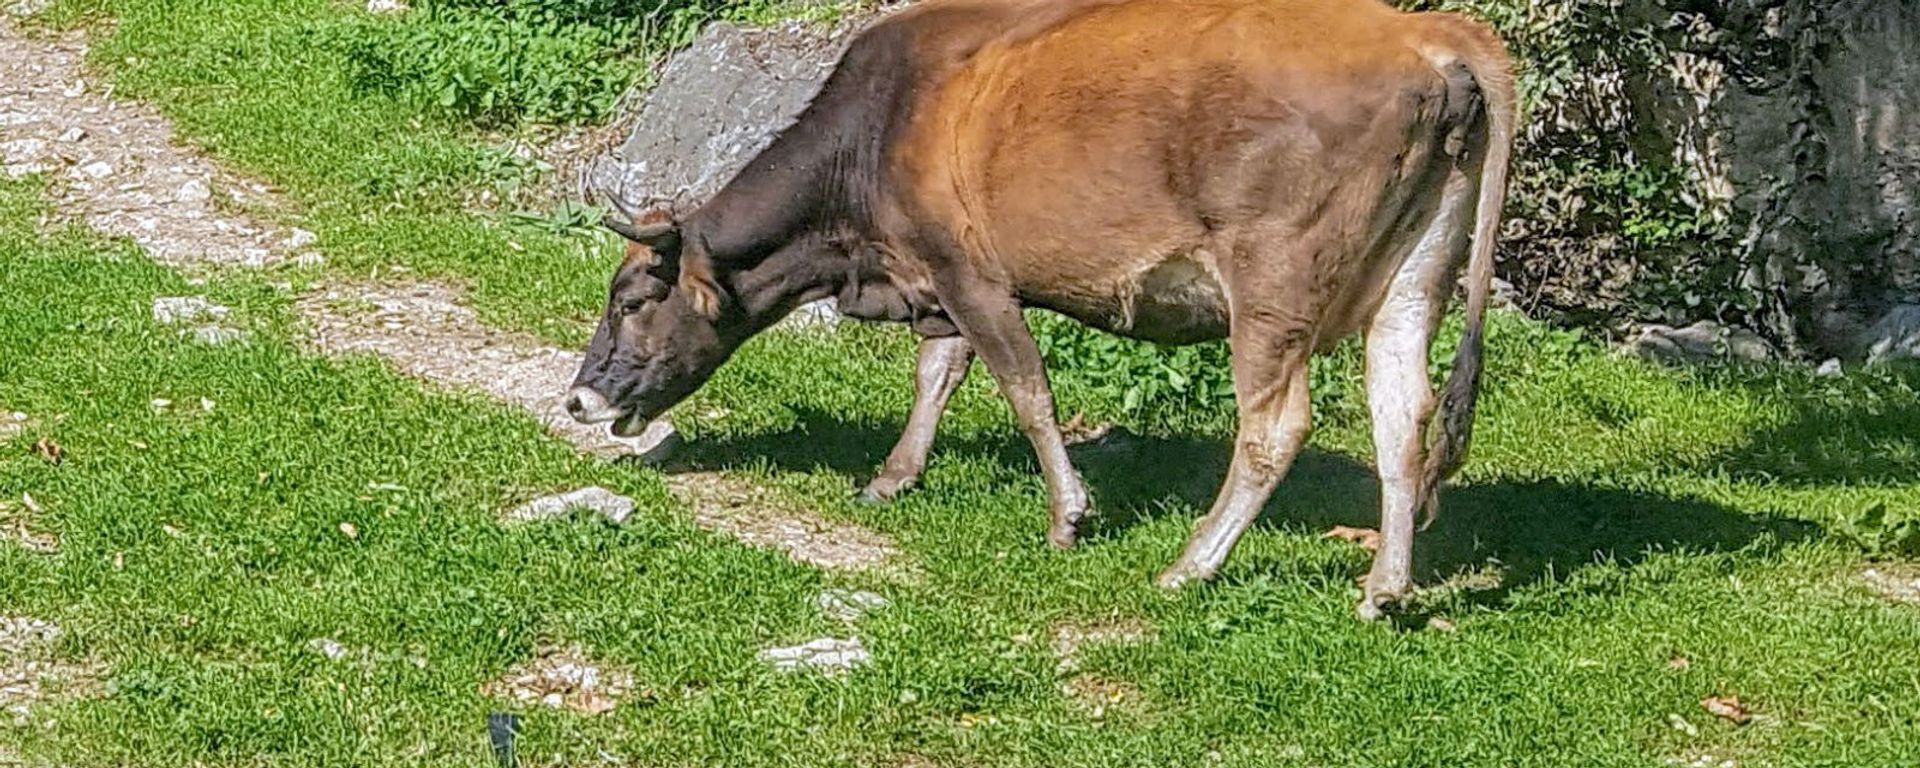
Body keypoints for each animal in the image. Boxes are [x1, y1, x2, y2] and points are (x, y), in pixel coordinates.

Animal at [565, 0, 1514, 619]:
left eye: (631, 299)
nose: (578, 399)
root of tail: (1433, 33)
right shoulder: (942, 281)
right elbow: (939, 372)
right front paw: (894, 475)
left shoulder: (971, 273)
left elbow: (1025, 391)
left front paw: (1068, 515)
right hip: (1417, 274)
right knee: (1403, 415)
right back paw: (1385, 587)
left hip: (1274, 285)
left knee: (1275, 426)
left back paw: (1191, 566)